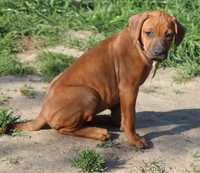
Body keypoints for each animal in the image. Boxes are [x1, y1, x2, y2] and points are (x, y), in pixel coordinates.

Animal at [14, 10, 185, 149]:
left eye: (169, 35)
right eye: (148, 32)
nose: (159, 52)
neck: (139, 46)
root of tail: (42, 111)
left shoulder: (121, 92)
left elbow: (120, 114)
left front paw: (120, 125)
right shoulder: (129, 88)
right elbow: (130, 118)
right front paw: (134, 139)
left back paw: (100, 119)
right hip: (89, 94)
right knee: (63, 128)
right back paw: (98, 132)